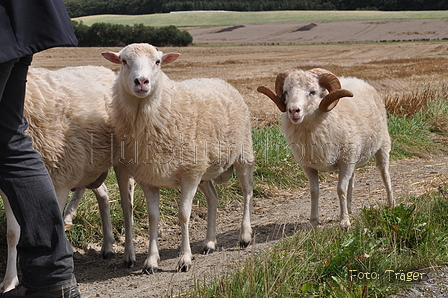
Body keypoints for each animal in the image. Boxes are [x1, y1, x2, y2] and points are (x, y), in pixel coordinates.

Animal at [0, 66, 117, 294]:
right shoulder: (10, 187)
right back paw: (107, 245)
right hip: (91, 167)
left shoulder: (60, 178)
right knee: (103, 194)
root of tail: (104, 68)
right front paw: (10, 281)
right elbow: (13, 233)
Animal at [102, 43, 256, 274]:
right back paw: (209, 243)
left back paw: (244, 235)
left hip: (242, 152)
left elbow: (184, 214)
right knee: (213, 197)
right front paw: (151, 261)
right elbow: (153, 218)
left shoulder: (189, 175)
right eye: (123, 61)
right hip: (203, 170)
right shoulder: (149, 178)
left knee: (247, 191)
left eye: (157, 62)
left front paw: (184, 259)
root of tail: (219, 79)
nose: (142, 81)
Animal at [258, 68, 394, 228]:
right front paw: (313, 221)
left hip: (382, 145)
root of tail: (358, 80)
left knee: (385, 174)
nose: (293, 111)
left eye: (313, 92)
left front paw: (344, 222)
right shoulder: (309, 166)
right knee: (352, 180)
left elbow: (340, 189)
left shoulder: (345, 161)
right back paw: (349, 208)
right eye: (286, 92)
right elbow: (314, 192)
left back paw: (391, 203)